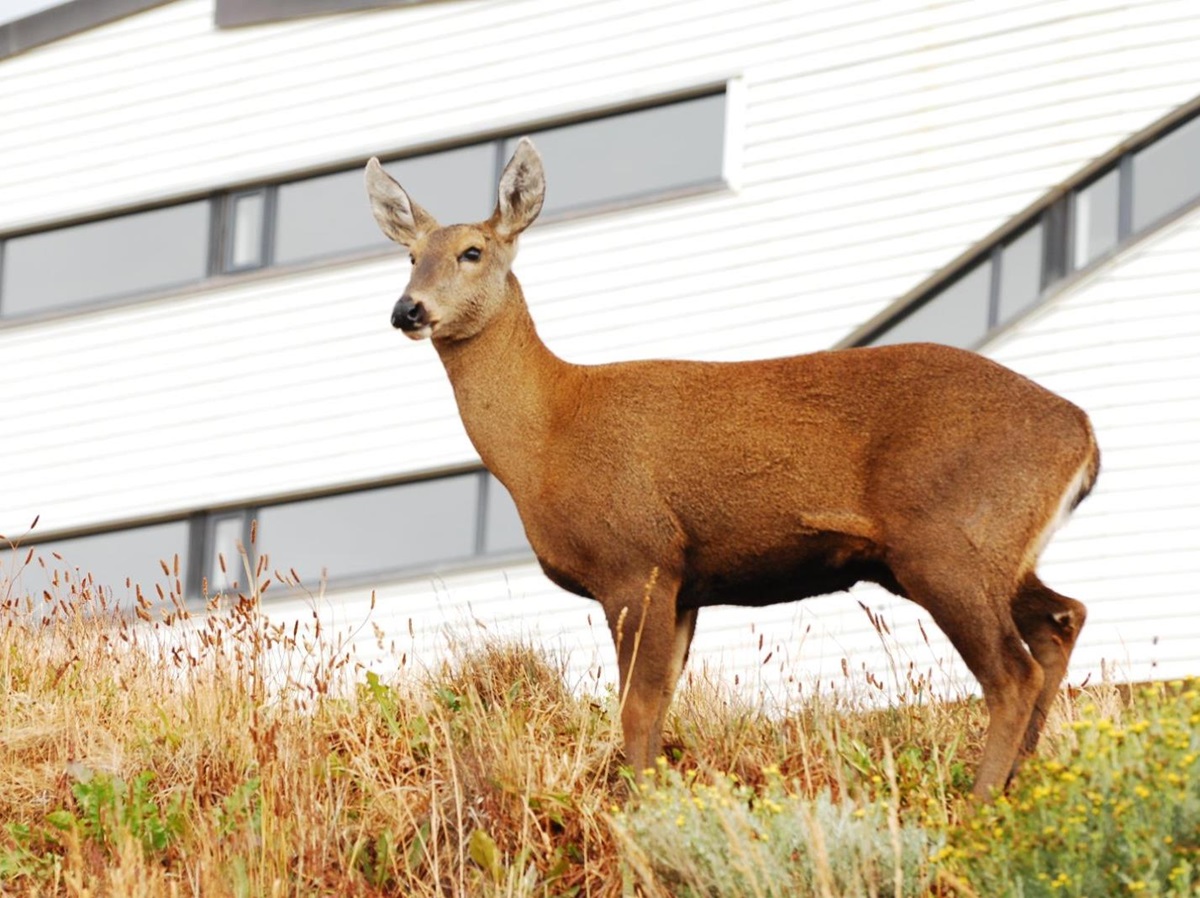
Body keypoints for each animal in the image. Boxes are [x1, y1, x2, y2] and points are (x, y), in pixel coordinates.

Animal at [363, 138, 1099, 799]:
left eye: (472, 251)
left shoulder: (637, 557)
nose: (407, 309)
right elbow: (658, 707)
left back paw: (978, 805)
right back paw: (1018, 784)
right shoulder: (687, 583)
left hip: (948, 539)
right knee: (1064, 618)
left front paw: (643, 818)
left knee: (1012, 673)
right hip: (980, 550)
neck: (547, 436)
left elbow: (635, 709)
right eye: (410, 256)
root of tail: (1084, 435)